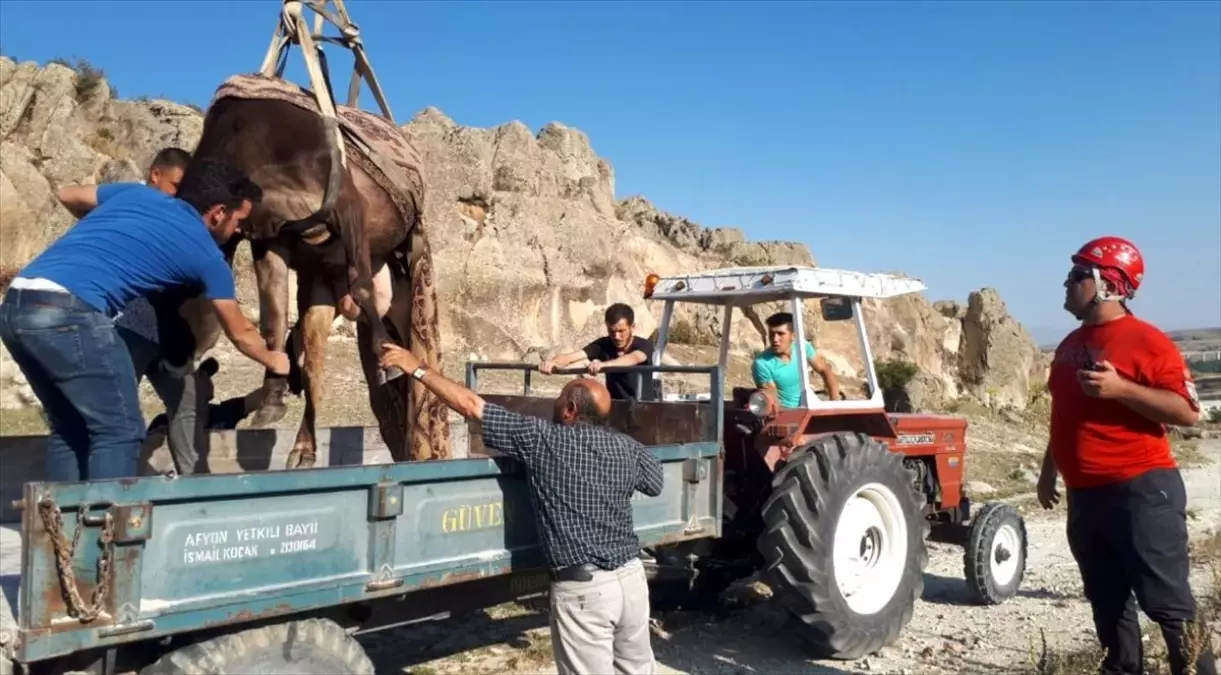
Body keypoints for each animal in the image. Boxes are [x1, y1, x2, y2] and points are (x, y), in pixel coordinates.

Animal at [188, 77, 456, 468]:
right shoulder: (268, 234)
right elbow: (274, 315)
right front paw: (272, 396)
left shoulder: (348, 205)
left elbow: (362, 289)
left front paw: (385, 356)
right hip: (323, 283)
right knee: (314, 360)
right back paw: (303, 448)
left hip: (402, 276)